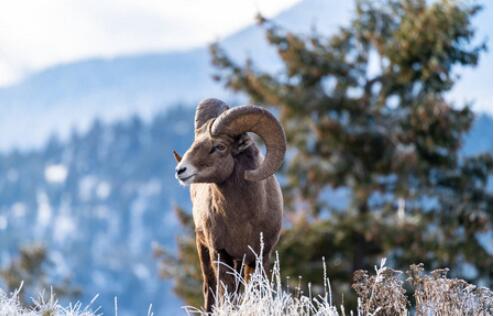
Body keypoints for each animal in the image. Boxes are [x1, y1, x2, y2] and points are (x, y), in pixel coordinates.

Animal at [174, 98, 286, 312]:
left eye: (220, 146)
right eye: (196, 141)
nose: (180, 170)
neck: (242, 220)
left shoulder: (260, 257)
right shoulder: (220, 254)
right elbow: (228, 295)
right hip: (204, 251)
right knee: (209, 290)